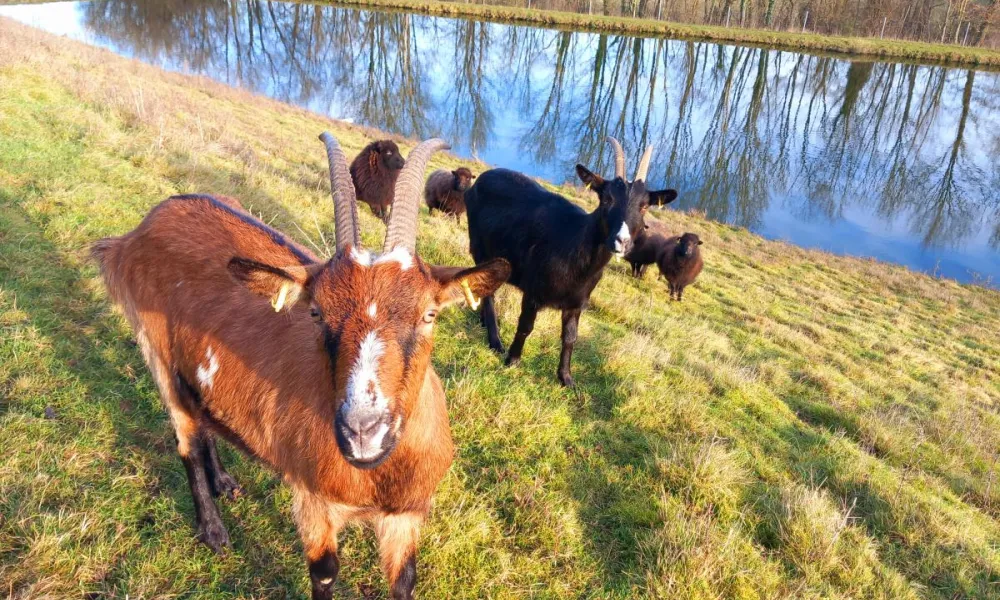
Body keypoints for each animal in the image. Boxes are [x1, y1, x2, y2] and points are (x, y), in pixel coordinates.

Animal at [92, 132, 510, 600]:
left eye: (429, 315)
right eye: (316, 313)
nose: (362, 431)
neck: (375, 475)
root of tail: (147, 223)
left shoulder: (406, 516)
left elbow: (404, 582)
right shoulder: (314, 503)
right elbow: (324, 572)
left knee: (203, 419)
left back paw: (225, 482)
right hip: (157, 352)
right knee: (187, 441)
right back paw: (213, 531)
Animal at [464, 137, 677, 386]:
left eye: (644, 206)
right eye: (606, 199)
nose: (621, 241)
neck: (574, 241)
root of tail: (483, 177)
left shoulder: (577, 302)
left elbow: (570, 337)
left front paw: (566, 378)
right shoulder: (534, 292)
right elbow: (526, 326)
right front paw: (512, 360)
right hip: (480, 247)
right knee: (487, 292)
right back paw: (495, 340)